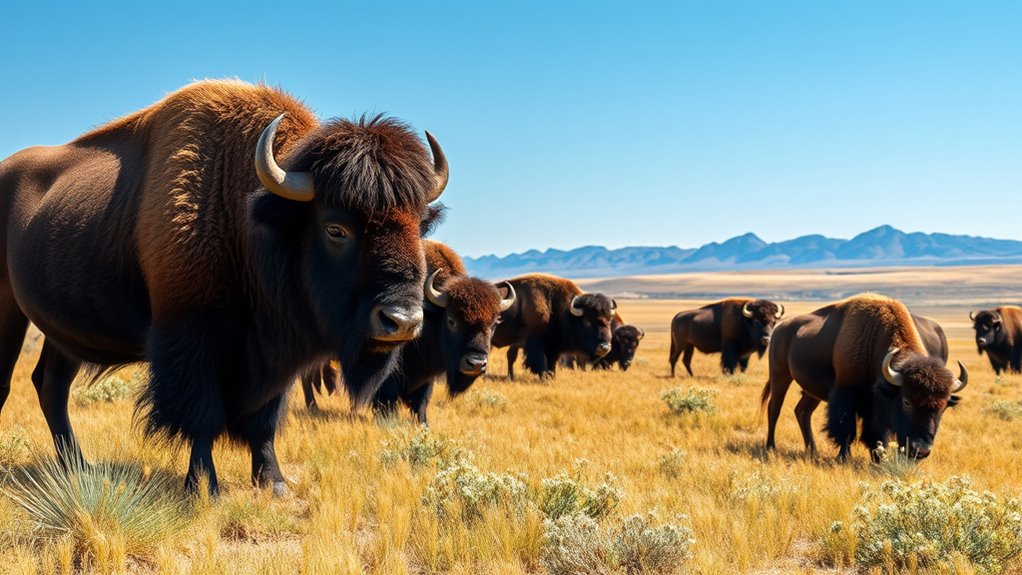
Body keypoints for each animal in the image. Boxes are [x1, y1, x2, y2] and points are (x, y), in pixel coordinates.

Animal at [0, 80, 449, 495]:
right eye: (335, 229)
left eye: (419, 224)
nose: (402, 321)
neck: (245, 212)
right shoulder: (193, 339)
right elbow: (203, 415)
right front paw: (204, 486)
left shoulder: (274, 353)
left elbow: (264, 419)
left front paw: (274, 483)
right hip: (10, 310)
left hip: (61, 332)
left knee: (51, 385)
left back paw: (77, 467)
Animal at [762, 294, 965, 461]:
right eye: (906, 401)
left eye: (944, 406)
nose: (921, 451)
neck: (875, 340)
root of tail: (780, 328)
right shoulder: (846, 393)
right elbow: (847, 429)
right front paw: (844, 458)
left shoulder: (875, 404)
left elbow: (876, 433)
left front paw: (878, 459)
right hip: (780, 375)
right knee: (774, 408)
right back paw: (770, 447)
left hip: (811, 391)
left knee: (802, 411)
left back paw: (812, 450)